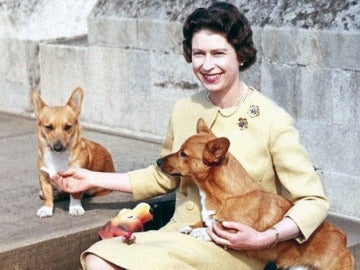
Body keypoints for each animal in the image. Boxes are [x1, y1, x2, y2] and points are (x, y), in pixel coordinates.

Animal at [32, 87, 114, 218]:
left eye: (68, 127)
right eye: (48, 127)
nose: (58, 147)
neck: (58, 157)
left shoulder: (77, 178)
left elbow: (75, 194)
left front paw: (75, 207)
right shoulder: (43, 176)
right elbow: (47, 194)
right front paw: (47, 208)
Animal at [156, 118, 352, 270]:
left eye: (183, 154)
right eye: (179, 150)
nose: (158, 161)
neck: (227, 196)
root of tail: (343, 241)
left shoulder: (236, 231)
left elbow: (216, 230)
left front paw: (203, 233)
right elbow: (204, 222)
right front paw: (191, 227)